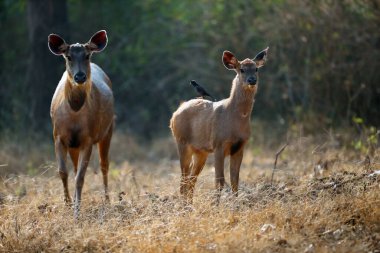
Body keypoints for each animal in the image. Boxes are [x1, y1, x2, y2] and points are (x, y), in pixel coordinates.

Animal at [47, 30, 113, 217]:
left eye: (87, 55)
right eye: (68, 56)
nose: (80, 76)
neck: (74, 113)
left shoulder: (88, 138)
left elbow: (81, 177)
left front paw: (76, 212)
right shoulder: (58, 136)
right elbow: (63, 172)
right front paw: (68, 204)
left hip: (108, 129)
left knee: (104, 165)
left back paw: (107, 200)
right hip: (73, 144)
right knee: (76, 168)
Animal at [171, 48, 268, 204]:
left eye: (256, 69)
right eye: (241, 69)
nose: (252, 80)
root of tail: (174, 114)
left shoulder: (239, 147)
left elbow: (235, 181)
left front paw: (235, 205)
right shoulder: (219, 144)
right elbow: (219, 181)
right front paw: (216, 205)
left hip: (201, 151)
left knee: (191, 179)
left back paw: (189, 205)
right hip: (182, 142)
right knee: (184, 179)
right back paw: (184, 205)